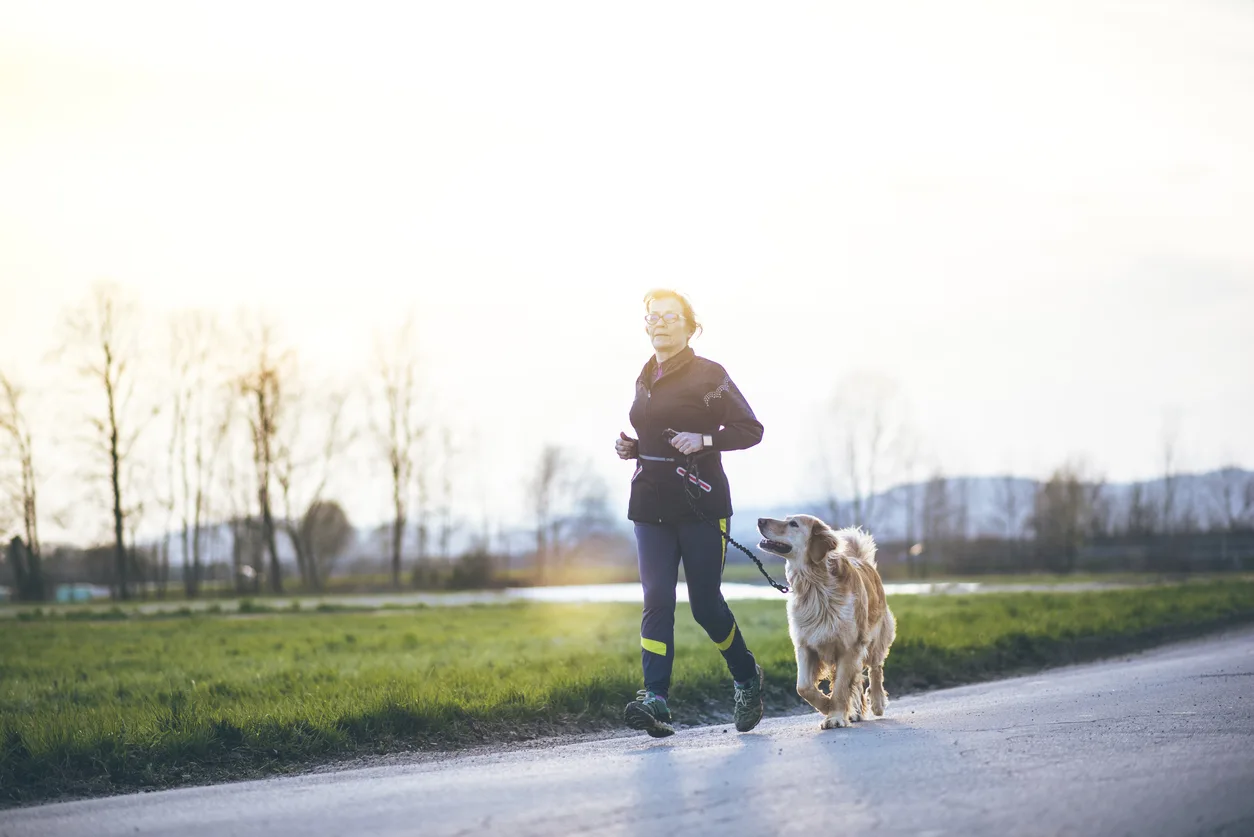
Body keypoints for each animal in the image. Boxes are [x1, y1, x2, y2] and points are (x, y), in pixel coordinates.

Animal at [752, 514, 892, 727]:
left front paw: (835, 715)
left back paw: (877, 702)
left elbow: (841, 687)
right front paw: (827, 706)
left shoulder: (850, 647)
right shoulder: (805, 644)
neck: (814, 584)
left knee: (875, 669)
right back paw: (855, 712)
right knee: (858, 679)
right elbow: (803, 687)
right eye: (786, 519)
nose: (760, 520)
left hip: (875, 639)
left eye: (793, 524)